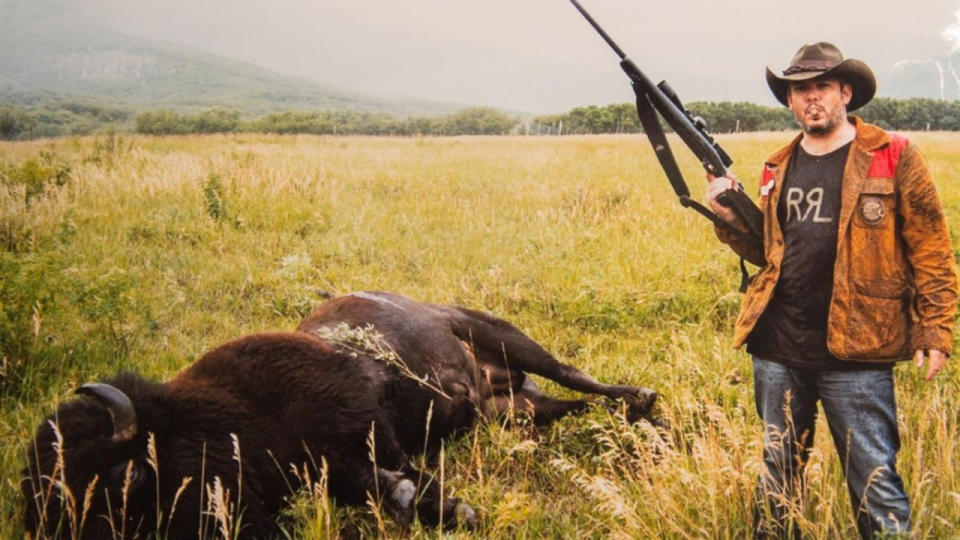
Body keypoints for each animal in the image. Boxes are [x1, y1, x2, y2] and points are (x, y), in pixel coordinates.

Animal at [22, 294, 656, 536]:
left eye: (120, 480)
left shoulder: (357, 430)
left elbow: (388, 476)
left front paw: (454, 508)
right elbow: (382, 485)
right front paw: (442, 505)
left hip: (504, 337)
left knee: (578, 376)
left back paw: (647, 407)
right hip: (512, 409)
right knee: (572, 405)